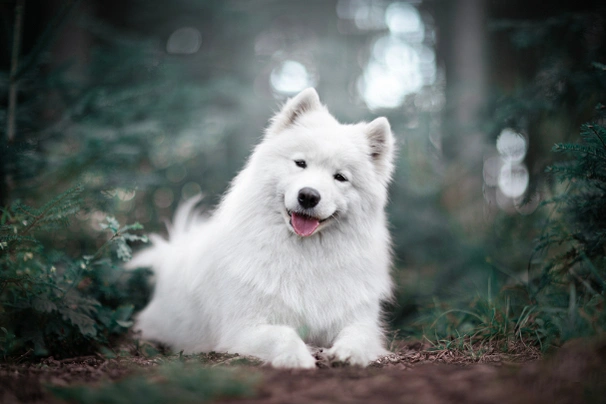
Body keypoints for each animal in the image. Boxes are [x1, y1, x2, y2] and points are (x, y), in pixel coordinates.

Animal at [128, 88, 396, 370]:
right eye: (300, 163)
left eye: (340, 177)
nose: (308, 196)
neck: (305, 255)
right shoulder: (243, 328)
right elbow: (283, 334)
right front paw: (297, 357)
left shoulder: (358, 320)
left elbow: (358, 335)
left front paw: (348, 353)